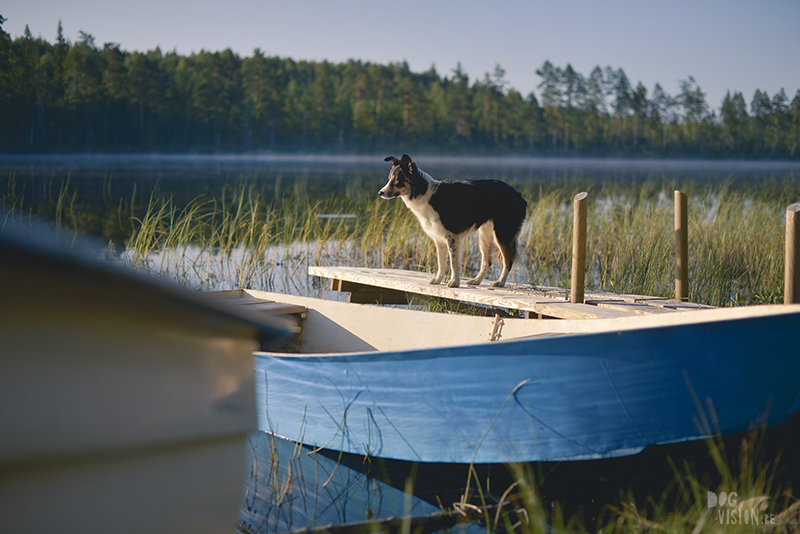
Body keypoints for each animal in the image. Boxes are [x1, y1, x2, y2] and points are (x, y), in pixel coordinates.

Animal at [380, 155, 528, 288]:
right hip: (485, 235)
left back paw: (500, 282)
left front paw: (454, 283)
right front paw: (438, 280)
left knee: (508, 261)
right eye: (388, 179)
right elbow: (441, 262)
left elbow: (453, 262)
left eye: (396, 180)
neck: (425, 193)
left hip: (502, 234)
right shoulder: (439, 239)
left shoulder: (452, 236)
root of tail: (518, 195)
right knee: (487, 262)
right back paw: (476, 281)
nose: (380, 192)